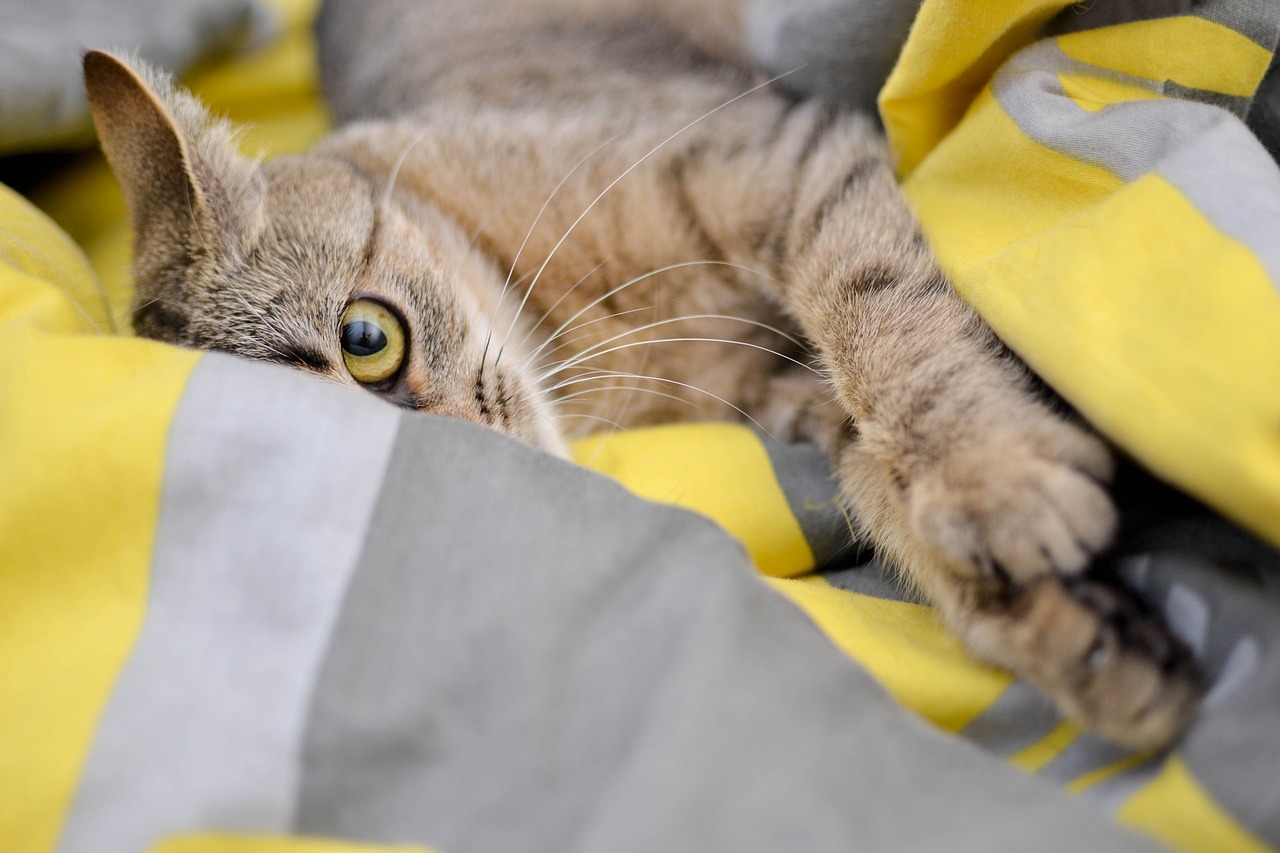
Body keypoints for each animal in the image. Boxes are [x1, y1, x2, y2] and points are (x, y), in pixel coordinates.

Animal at [85, 0, 1203, 742]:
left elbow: (881, 313)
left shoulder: (785, 157)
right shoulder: (784, 389)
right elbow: (880, 476)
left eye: (368, 341)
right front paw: (1075, 633)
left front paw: (990, 476)